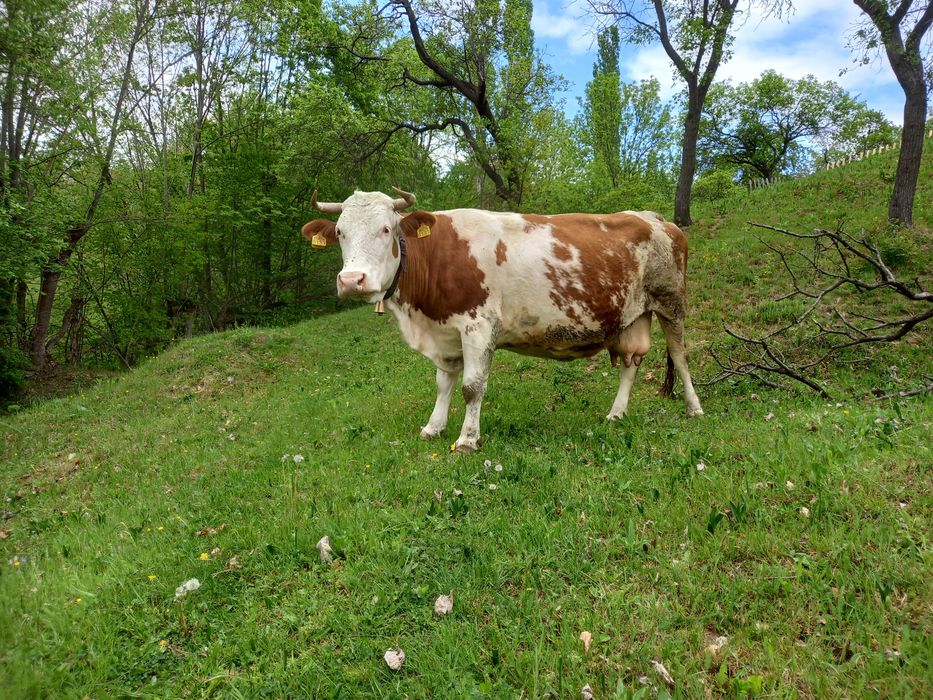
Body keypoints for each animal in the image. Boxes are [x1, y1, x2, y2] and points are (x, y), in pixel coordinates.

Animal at [301, 188, 703, 452]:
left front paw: (467, 439)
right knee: (631, 364)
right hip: (631, 316)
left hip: (671, 303)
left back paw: (694, 408)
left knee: (680, 357)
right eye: (340, 233)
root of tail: (653, 217)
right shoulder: (445, 331)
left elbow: (471, 386)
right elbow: (443, 384)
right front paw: (434, 427)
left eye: (386, 229)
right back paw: (616, 414)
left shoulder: (478, 326)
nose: (352, 280)